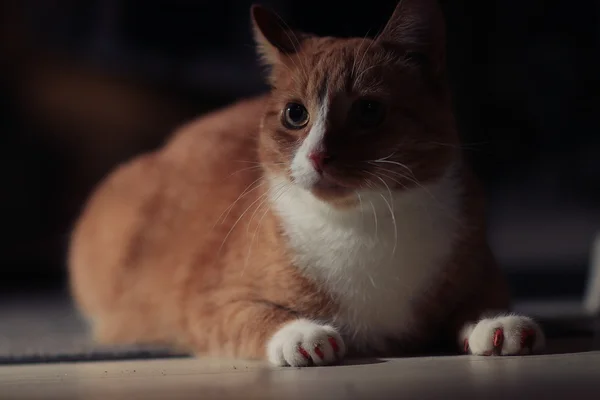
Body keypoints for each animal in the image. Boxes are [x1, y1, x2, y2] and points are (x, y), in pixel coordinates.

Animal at [69, 0, 544, 368]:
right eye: (295, 114)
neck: (363, 226)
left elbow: (478, 300)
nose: (317, 155)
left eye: (369, 111)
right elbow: (253, 316)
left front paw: (495, 322)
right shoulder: (209, 302)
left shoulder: (479, 266)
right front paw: (300, 334)